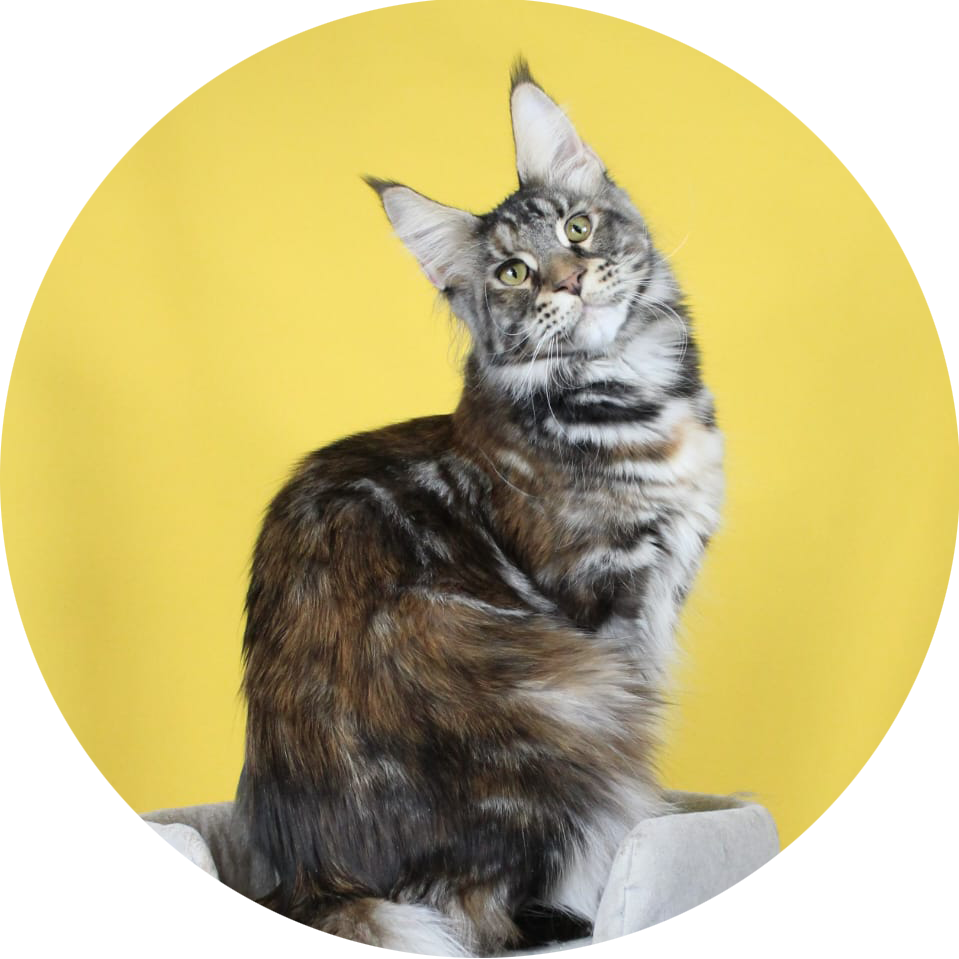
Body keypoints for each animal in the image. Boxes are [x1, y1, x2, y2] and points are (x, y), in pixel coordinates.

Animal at [235, 60, 724, 957]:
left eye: (575, 228)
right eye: (512, 274)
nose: (569, 279)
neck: (635, 396)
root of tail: (323, 883)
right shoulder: (612, 604)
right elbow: (641, 759)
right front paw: (643, 842)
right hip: (566, 697)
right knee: (485, 908)